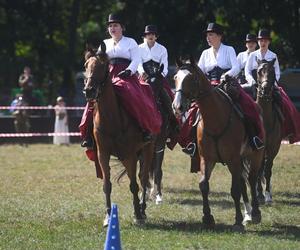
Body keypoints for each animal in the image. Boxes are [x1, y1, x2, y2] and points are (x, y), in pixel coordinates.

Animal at [84, 44, 156, 228]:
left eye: (102, 66)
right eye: (86, 65)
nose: (89, 90)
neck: (112, 117)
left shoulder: (130, 154)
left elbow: (134, 185)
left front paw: (137, 215)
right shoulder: (102, 154)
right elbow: (107, 185)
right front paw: (108, 217)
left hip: (147, 149)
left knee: (143, 179)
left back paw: (142, 210)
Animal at [172, 57, 266, 231]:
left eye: (191, 78)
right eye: (176, 77)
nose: (177, 106)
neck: (216, 118)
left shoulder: (233, 159)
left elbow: (235, 190)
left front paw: (237, 221)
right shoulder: (207, 159)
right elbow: (204, 185)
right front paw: (207, 217)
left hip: (255, 154)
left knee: (251, 178)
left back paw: (255, 213)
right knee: (243, 181)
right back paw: (248, 215)